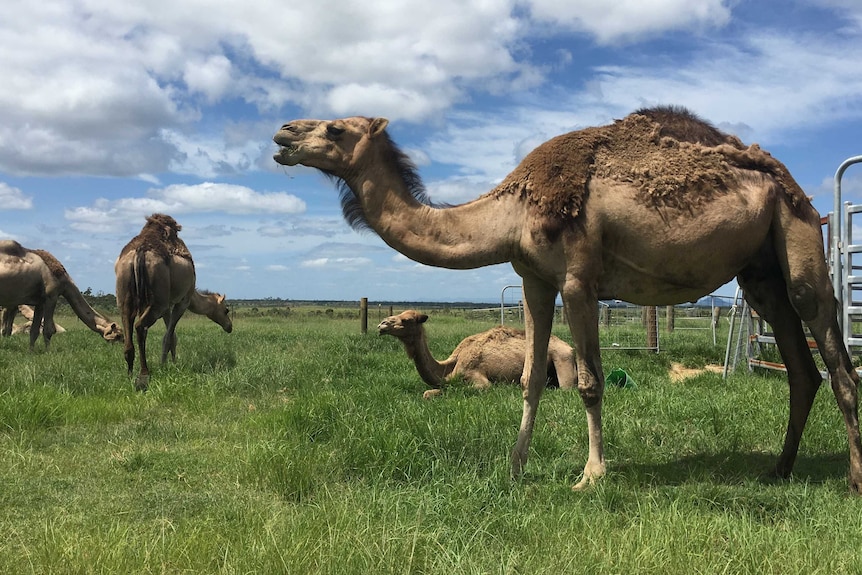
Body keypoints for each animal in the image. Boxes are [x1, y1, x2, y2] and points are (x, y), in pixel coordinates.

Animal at [117, 214, 236, 394]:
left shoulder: (167, 306)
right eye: (226, 310)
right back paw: (144, 376)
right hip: (157, 300)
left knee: (128, 325)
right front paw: (166, 365)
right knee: (140, 327)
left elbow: (171, 335)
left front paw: (170, 363)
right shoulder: (181, 302)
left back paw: (129, 374)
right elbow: (169, 336)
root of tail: (140, 252)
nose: (229, 327)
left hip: (125, 296)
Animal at [376, 308, 572, 398]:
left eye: (407, 320)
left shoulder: (478, 378)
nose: (382, 324)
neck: (450, 367)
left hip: (562, 358)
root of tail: (570, 347)